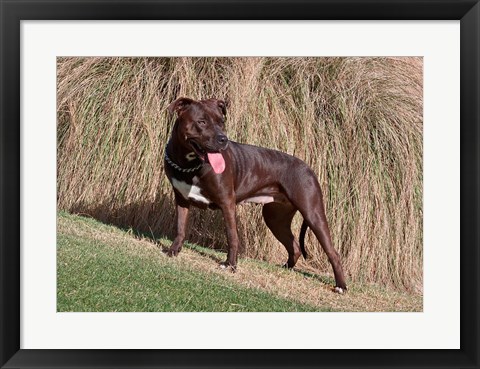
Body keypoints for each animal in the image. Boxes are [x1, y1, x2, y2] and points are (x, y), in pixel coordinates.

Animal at [163, 96, 346, 292]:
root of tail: (309, 168)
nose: (223, 139)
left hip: (313, 213)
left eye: (221, 122)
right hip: (275, 218)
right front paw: (173, 251)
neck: (188, 164)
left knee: (333, 252)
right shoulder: (181, 199)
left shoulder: (227, 203)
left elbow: (232, 235)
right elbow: (180, 227)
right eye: (202, 122)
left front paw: (230, 265)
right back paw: (285, 269)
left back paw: (341, 286)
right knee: (294, 246)